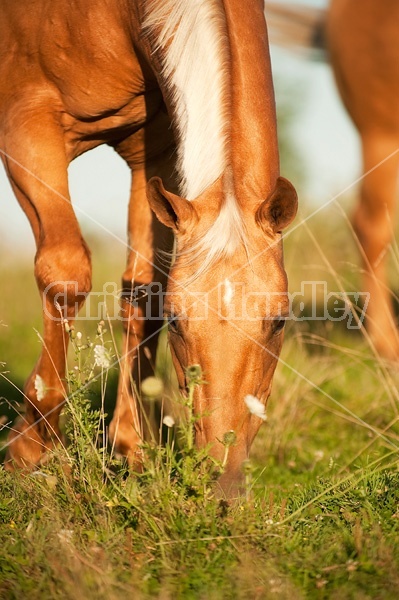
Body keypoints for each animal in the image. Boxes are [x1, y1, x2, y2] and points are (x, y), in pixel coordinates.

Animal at [0, 0, 296, 494]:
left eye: (278, 322)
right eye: (179, 324)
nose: (223, 480)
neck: (109, 15)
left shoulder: (154, 155)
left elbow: (143, 290)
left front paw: (131, 450)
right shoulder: (26, 126)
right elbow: (66, 272)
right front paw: (30, 452)